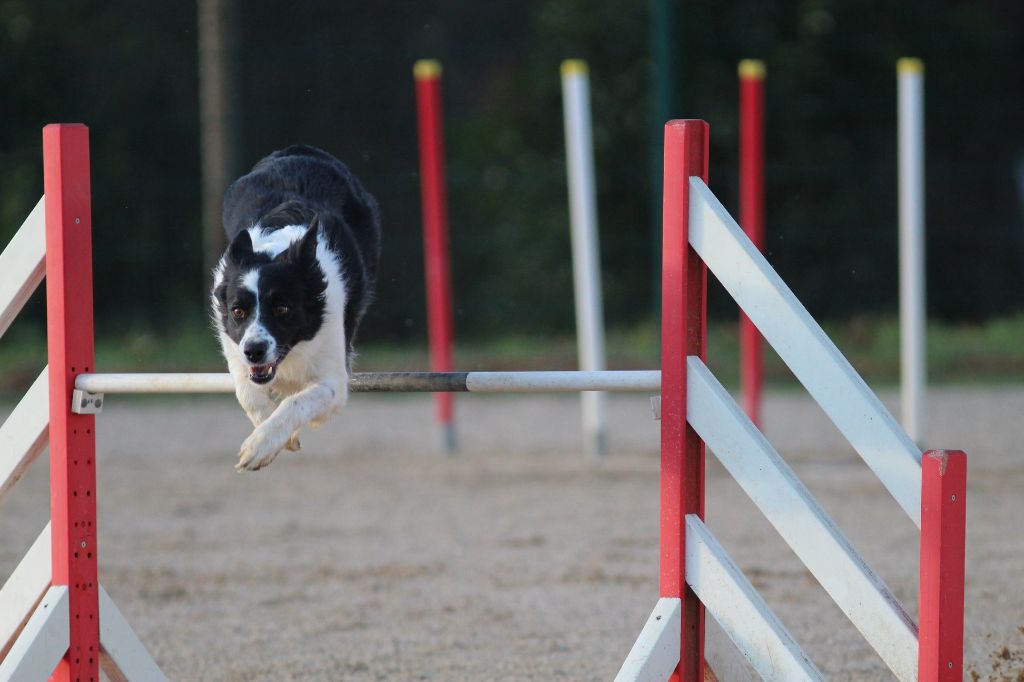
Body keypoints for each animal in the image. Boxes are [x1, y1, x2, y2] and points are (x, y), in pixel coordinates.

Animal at [209, 145, 382, 471]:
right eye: (238, 311)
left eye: (283, 309)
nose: (254, 351)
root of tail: (299, 151)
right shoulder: (236, 353)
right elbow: (247, 393)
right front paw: (278, 437)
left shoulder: (333, 381)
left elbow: (297, 401)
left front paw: (261, 445)